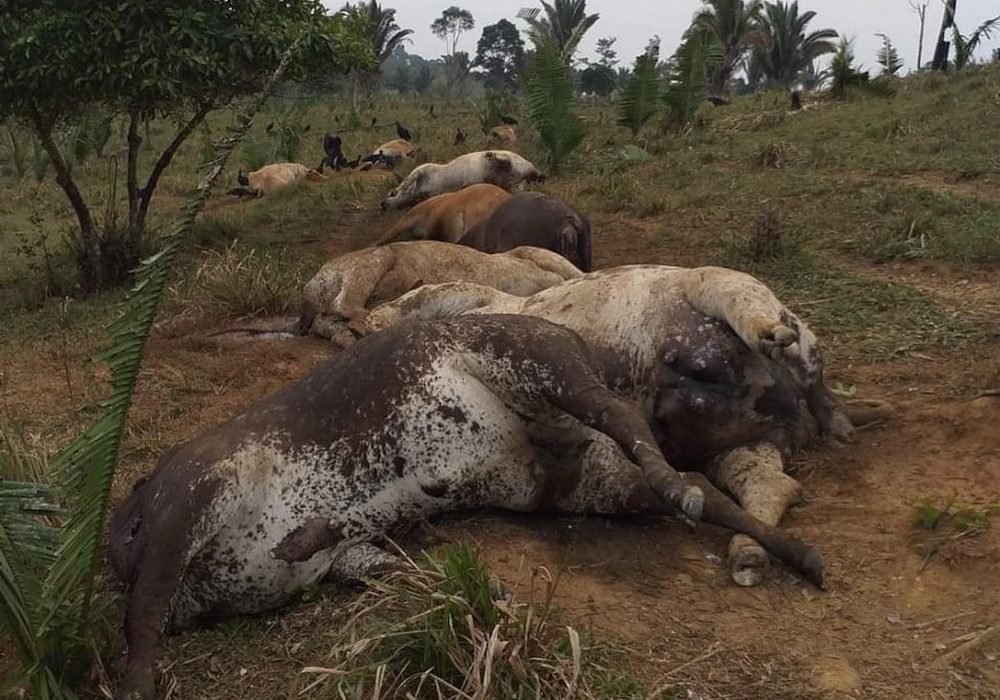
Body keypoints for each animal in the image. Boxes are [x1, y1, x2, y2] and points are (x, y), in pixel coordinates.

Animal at [110, 314, 824, 700]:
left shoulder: (193, 500)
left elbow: (141, 617)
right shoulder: (343, 555)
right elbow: (403, 572)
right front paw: (490, 598)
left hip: (540, 368)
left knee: (628, 425)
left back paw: (694, 496)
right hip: (570, 473)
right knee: (691, 486)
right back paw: (791, 549)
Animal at [358, 265, 863, 587]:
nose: (365, 321)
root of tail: (791, 404)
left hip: (719, 287)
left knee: (777, 334)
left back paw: (782, 349)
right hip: (743, 448)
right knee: (773, 485)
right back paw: (748, 554)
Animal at [380, 151, 546, 210]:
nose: (382, 205)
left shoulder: (423, 169)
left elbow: (405, 182)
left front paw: (394, 190)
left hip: (518, 167)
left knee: (505, 161)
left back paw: (490, 155)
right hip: (516, 183)